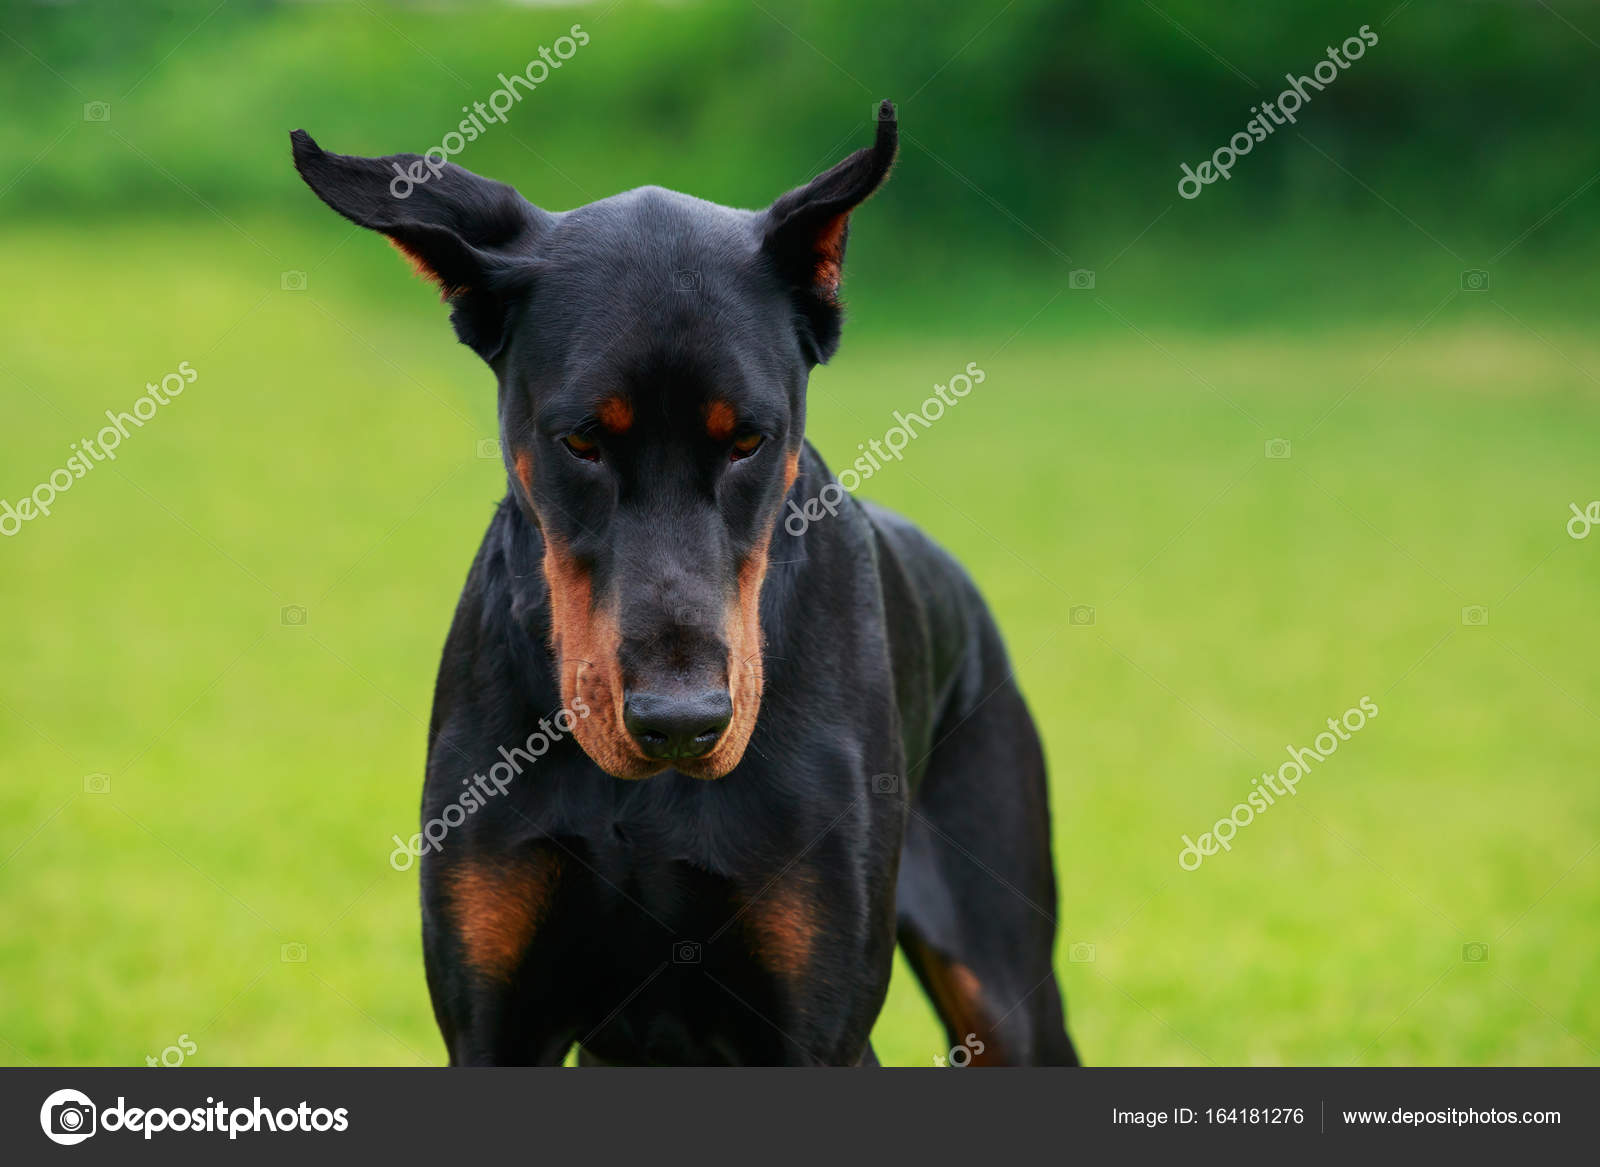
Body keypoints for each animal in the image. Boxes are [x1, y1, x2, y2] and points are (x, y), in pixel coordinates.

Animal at [294, 104, 1081, 1062]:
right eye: (581, 440)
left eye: (747, 439)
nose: (680, 722)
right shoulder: (493, 1021)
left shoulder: (817, 1028)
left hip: (1006, 986)